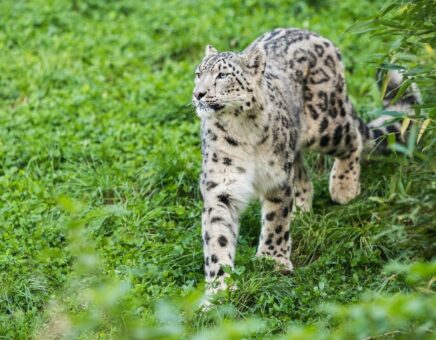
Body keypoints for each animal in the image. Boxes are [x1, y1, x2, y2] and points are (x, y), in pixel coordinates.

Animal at [192, 27, 420, 292]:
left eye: (223, 75)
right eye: (198, 73)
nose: (198, 94)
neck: (241, 129)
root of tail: (317, 35)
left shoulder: (277, 180)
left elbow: (276, 222)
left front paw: (272, 260)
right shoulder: (221, 186)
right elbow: (218, 237)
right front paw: (220, 286)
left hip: (326, 126)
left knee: (353, 137)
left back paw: (344, 187)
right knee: (301, 169)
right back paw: (301, 209)